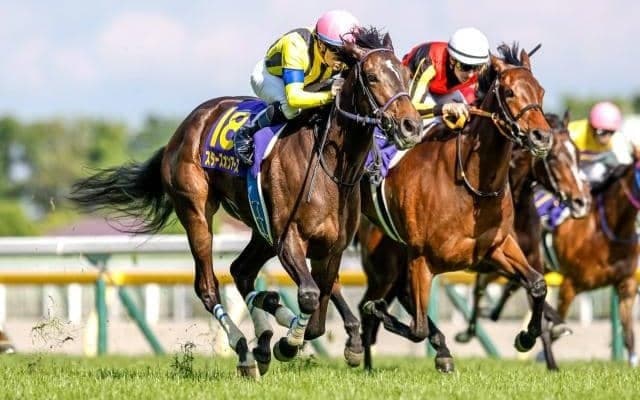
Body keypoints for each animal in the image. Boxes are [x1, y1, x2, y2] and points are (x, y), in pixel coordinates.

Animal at [70, 27, 422, 379]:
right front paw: (286, 343)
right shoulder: (288, 239)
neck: (332, 167)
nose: (411, 126)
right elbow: (309, 298)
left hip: (260, 228)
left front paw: (315, 337)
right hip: (198, 212)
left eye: (406, 75)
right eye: (372, 77)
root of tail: (181, 131)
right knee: (208, 285)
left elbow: (319, 315)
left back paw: (264, 333)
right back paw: (245, 349)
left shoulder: (331, 250)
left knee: (241, 271)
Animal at [354, 43, 554, 372]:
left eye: (540, 91)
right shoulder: (421, 259)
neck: (470, 186)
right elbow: (416, 327)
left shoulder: (497, 246)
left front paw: (526, 337)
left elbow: (537, 284)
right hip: (383, 262)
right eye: (509, 92)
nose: (542, 136)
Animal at [453, 111, 592, 370]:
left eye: (578, 155)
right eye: (553, 157)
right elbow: (527, 289)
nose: (582, 202)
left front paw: (552, 362)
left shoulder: (534, 258)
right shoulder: (495, 258)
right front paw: (553, 326)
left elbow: (534, 288)